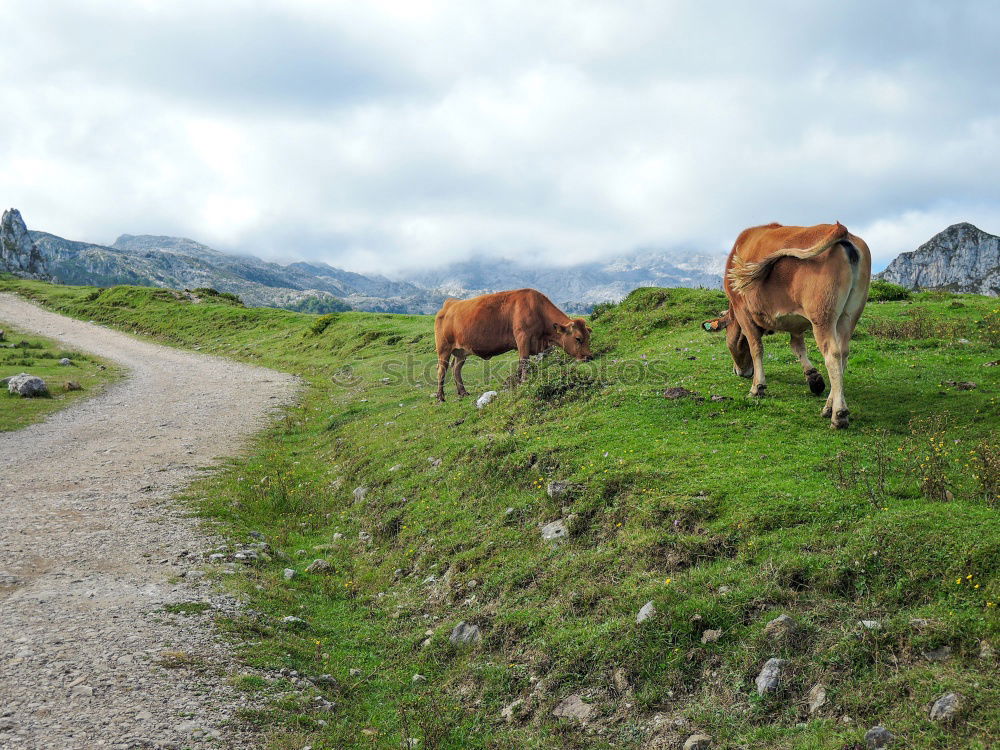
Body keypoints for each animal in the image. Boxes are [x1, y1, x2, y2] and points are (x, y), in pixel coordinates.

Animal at [432, 290, 588, 406]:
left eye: (588, 336)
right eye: (578, 338)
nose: (589, 356)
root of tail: (450, 304)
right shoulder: (522, 337)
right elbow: (524, 361)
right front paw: (524, 382)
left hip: (460, 352)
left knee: (456, 368)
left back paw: (463, 392)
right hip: (444, 349)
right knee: (441, 370)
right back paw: (441, 397)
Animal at [704, 223, 876, 428]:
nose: (740, 372)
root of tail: (843, 231)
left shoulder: (743, 311)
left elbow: (756, 347)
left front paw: (757, 387)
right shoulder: (796, 325)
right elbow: (798, 347)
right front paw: (813, 378)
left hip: (822, 318)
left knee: (833, 355)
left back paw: (839, 414)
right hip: (849, 316)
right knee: (843, 354)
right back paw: (828, 406)